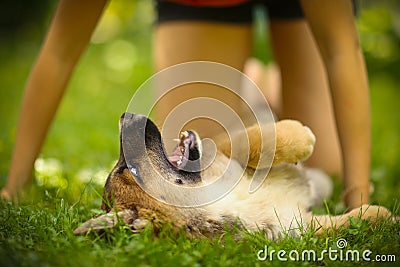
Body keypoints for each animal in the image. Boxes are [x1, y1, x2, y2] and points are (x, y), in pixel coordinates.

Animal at [73, 113, 392, 239]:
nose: (126, 116)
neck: (216, 199)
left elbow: (255, 141)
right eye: (131, 171)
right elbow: (347, 223)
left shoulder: (223, 149)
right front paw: (385, 216)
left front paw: (300, 136)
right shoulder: (296, 229)